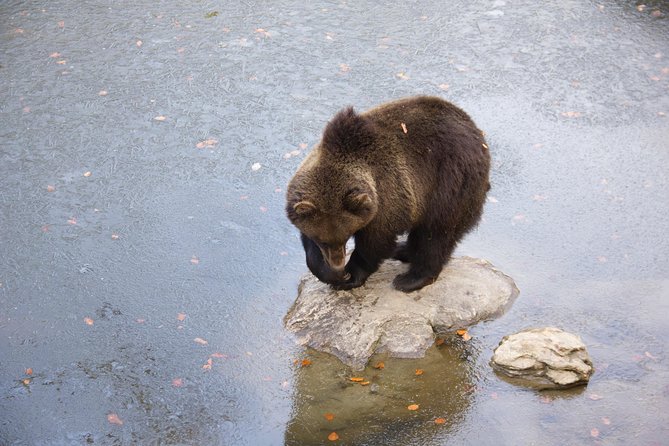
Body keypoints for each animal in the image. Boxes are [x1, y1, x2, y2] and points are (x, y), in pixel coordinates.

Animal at [285, 96, 490, 292]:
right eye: (323, 240)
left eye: (346, 235)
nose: (338, 264)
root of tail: (477, 132)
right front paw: (329, 273)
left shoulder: (388, 195)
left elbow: (375, 242)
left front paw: (350, 276)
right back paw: (403, 250)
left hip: (449, 180)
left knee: (435, 233)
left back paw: (410, 279)